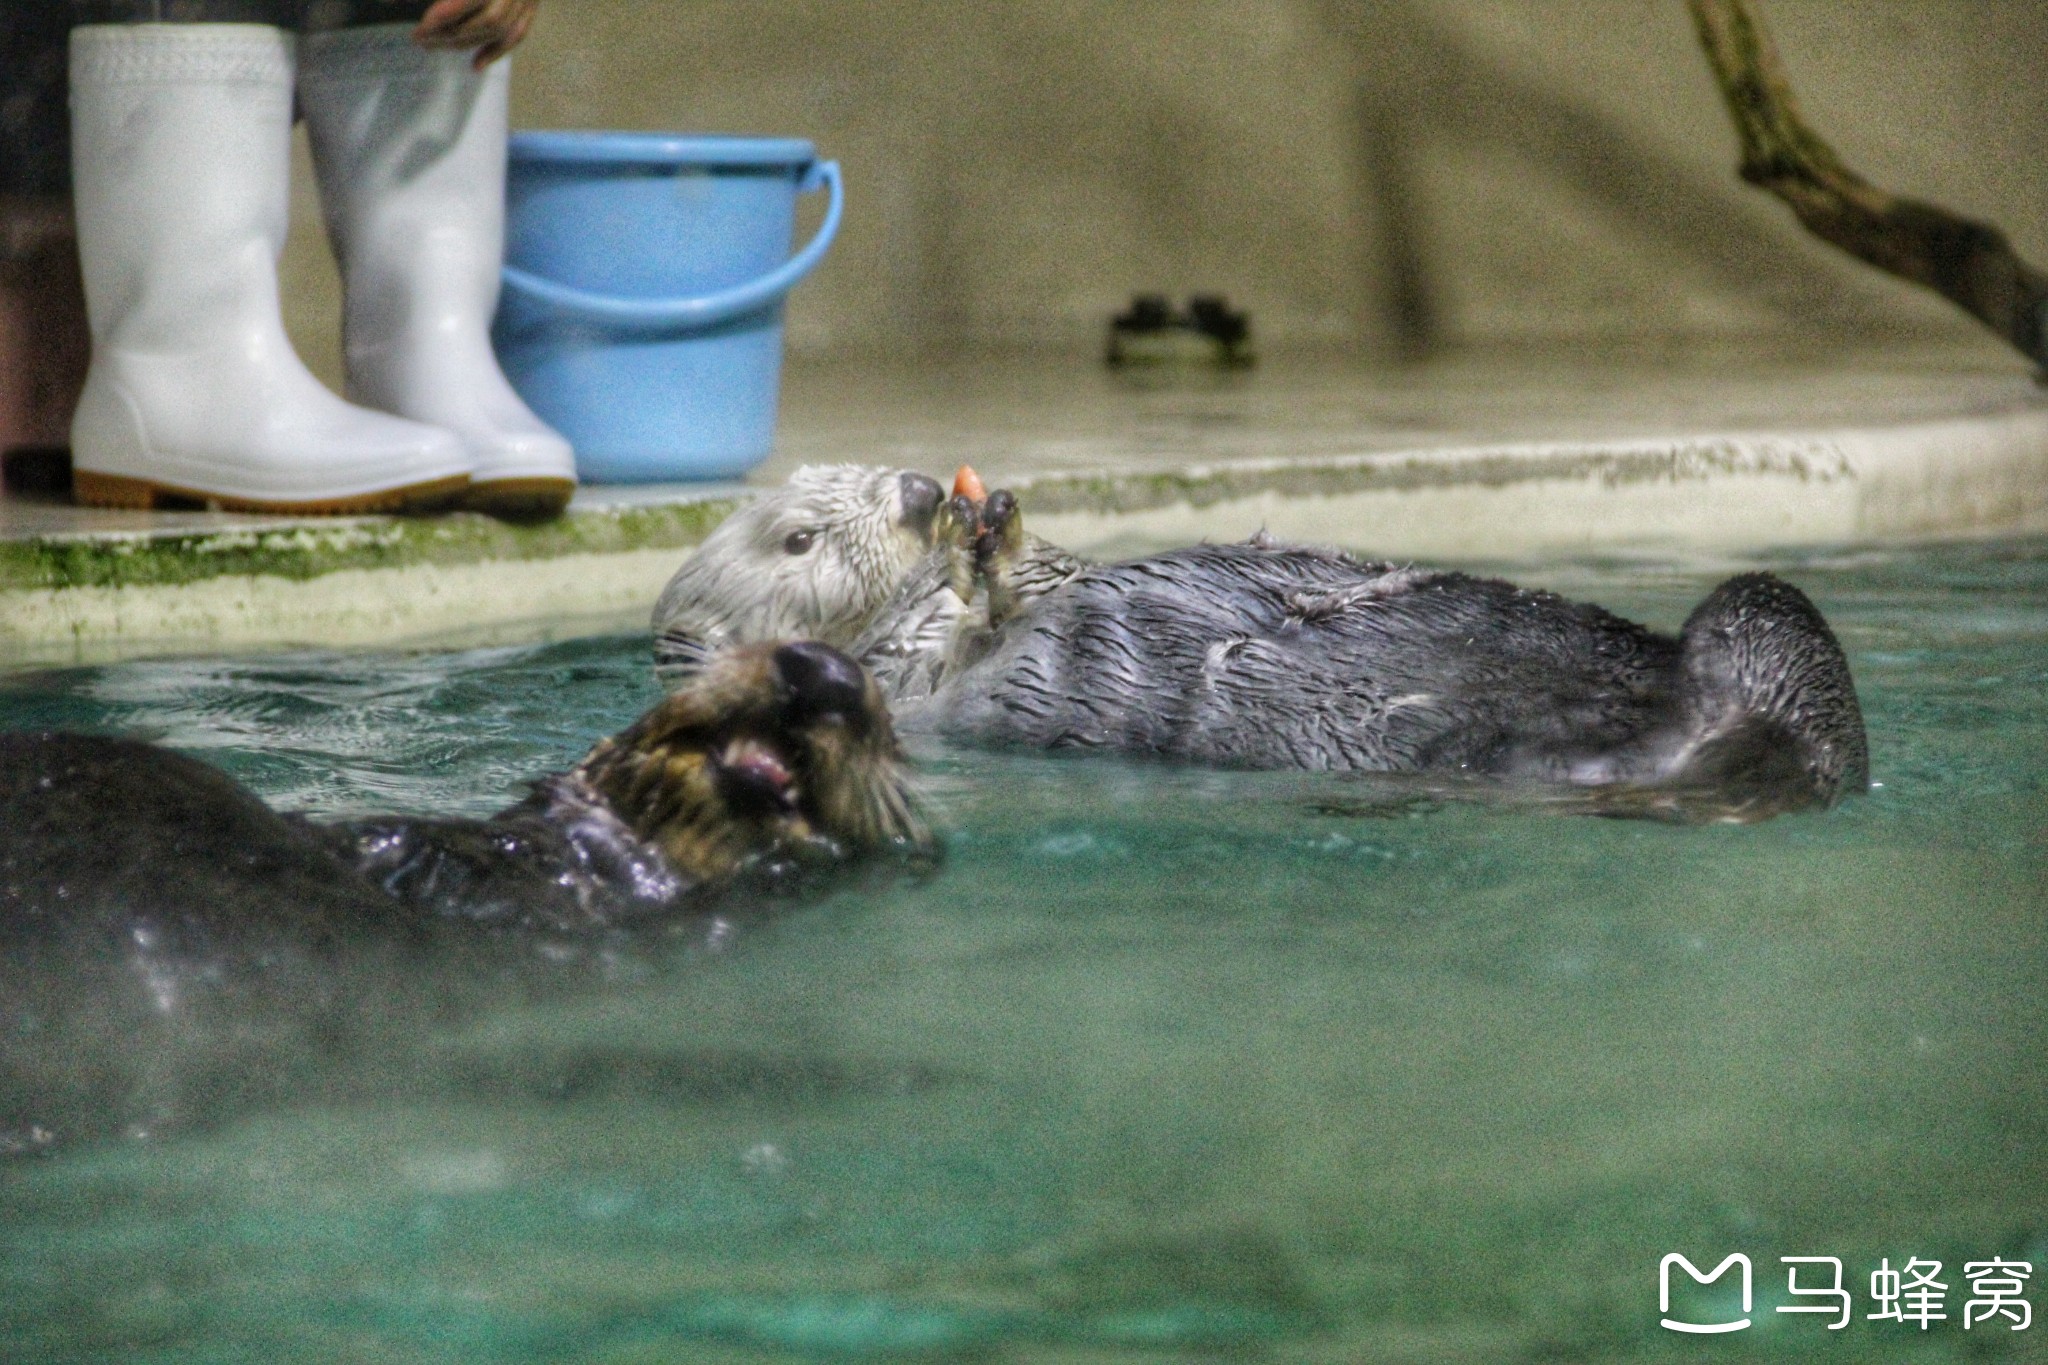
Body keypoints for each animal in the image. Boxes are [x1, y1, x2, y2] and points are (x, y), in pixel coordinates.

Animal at [655, 464, 1875, 818]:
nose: (919, 492)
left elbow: (1043, 576)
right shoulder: (900, 680)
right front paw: (972, 555)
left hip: (1761, 617)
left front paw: (996, 520)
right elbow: (936, 642)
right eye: (798, 538)